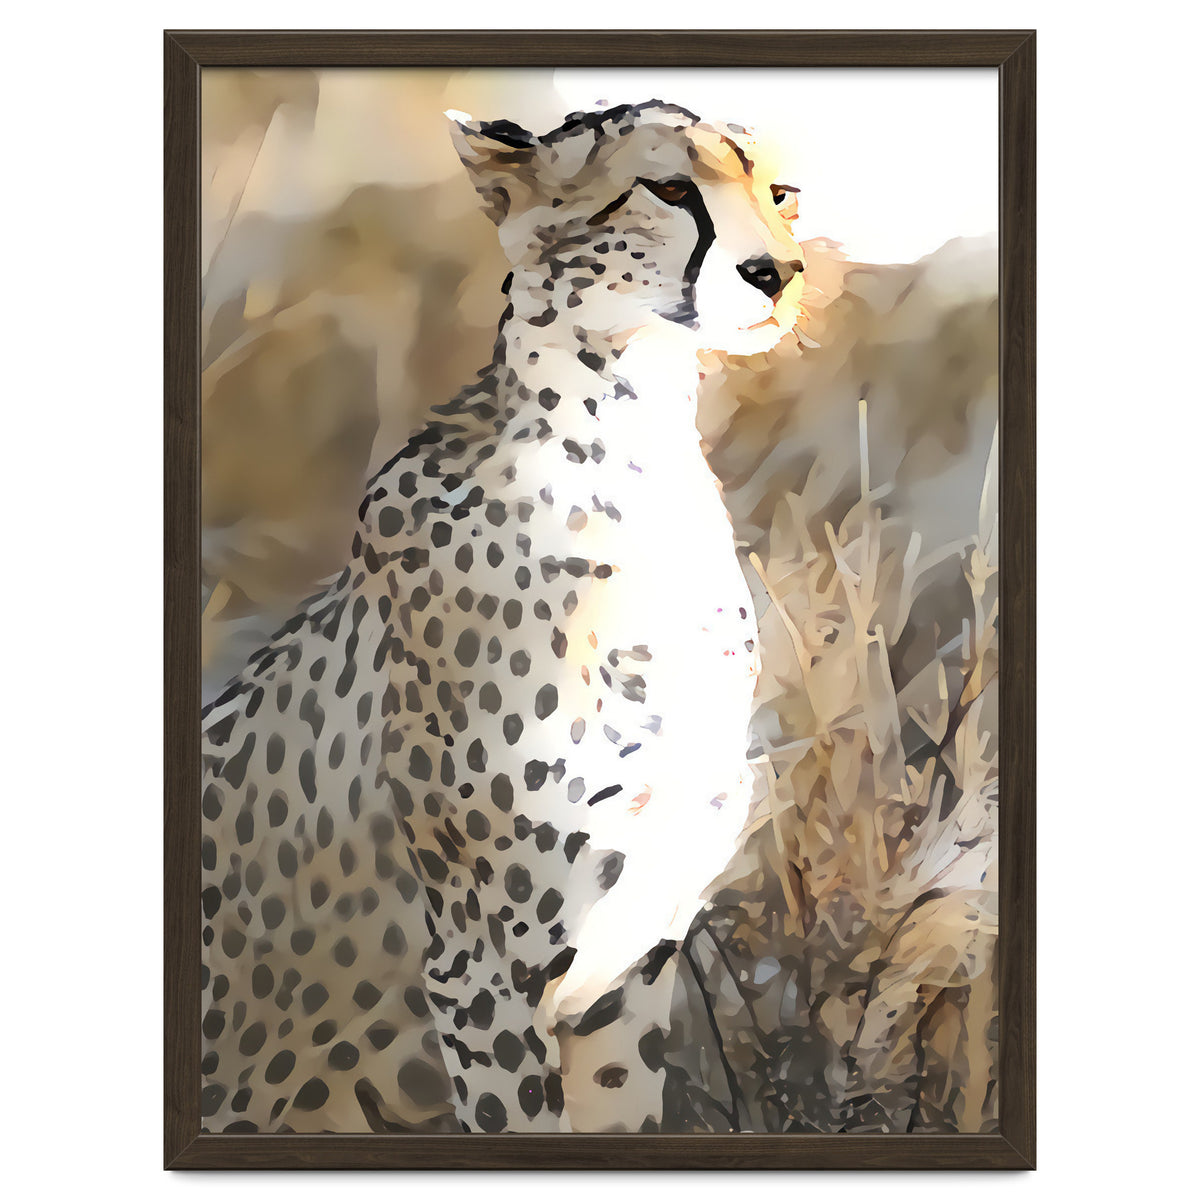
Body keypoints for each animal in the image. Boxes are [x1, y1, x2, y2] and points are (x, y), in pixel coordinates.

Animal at [199, 100, 807, 1134]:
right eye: (670, 187)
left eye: (780, 192)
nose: (782, 273)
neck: (633, 455)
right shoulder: (481, 978)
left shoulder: (625, 978)